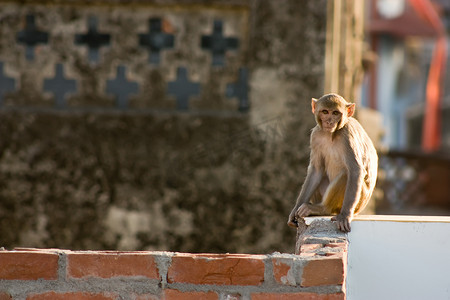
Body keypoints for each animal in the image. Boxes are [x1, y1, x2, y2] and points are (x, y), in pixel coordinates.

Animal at [286, 93, 378, 232]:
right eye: (325, 112)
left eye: (335, 113)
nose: (329, 121)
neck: (331, 134)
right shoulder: (315, 135)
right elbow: (316, 171)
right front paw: (294, 210)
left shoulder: (347, 135)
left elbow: (355, 170)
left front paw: (345, 215)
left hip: (357, 203)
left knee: (346, 175)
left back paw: (323, 209)